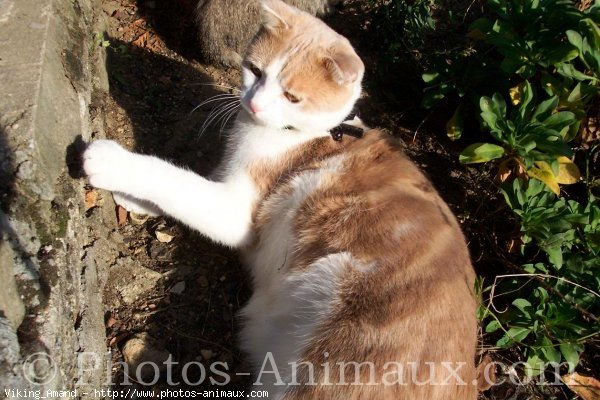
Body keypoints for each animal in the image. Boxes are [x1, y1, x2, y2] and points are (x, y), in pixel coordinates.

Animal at [83, 1, 478, 398]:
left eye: (292, 97)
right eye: (255, 71)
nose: (254, 104)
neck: (317, 133)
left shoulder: (237, 213)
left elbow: (177, 180)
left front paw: (112, 163)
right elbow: (191, 183)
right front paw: (132, 200)